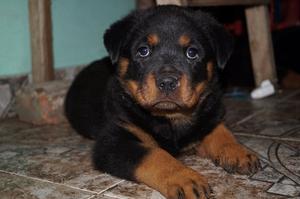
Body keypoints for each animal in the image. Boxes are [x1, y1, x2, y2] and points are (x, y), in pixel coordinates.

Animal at [65, 5, 260, 199]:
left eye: (192, 52)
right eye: (143, 50)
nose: (167, 82)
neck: (169, 118)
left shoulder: (209, 112)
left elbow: (219, 129)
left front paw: (237, 151)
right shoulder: (112, 141)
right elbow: (155, 154)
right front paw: (185, 179)